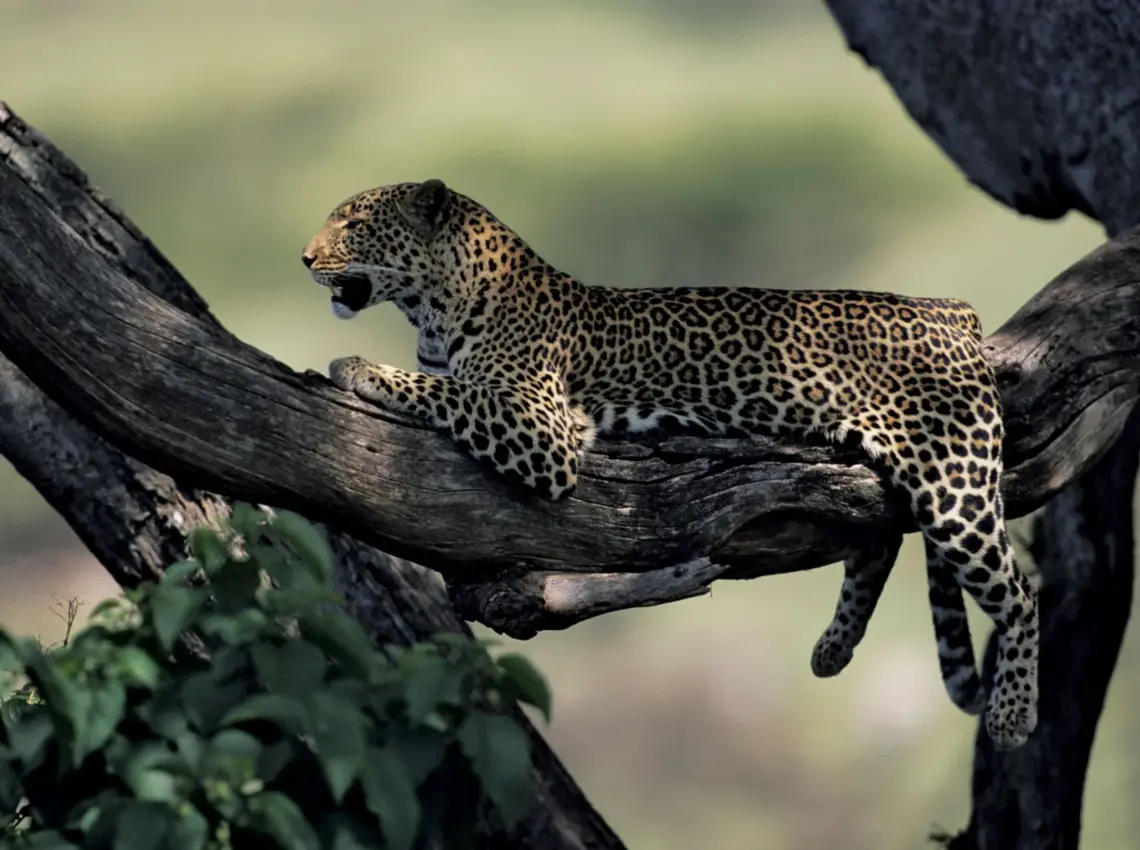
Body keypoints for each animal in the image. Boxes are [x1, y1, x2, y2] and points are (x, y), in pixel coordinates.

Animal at [301, 178, 1040, 750]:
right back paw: (832, 648)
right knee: (878, 539)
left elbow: (446, 391)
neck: (436, 307)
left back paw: (1013, 715)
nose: (305, 258)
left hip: (953, 479)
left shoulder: (543, 427)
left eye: (356, 224)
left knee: (1022, 591)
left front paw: (358, 367)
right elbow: (446, 385)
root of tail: (949, 307)